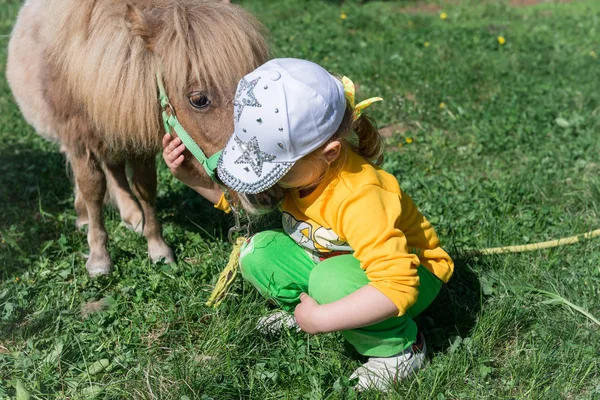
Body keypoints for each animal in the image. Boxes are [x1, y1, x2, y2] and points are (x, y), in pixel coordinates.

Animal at [5, 0, 268, 276]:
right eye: (198, 100)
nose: (265, 193)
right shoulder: (78, 140)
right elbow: (93, 189)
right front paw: (98, 256)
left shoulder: (135, 135)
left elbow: (145, 186)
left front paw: (157, 247)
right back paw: (84, 214)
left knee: (115, 168)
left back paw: (131, 215)